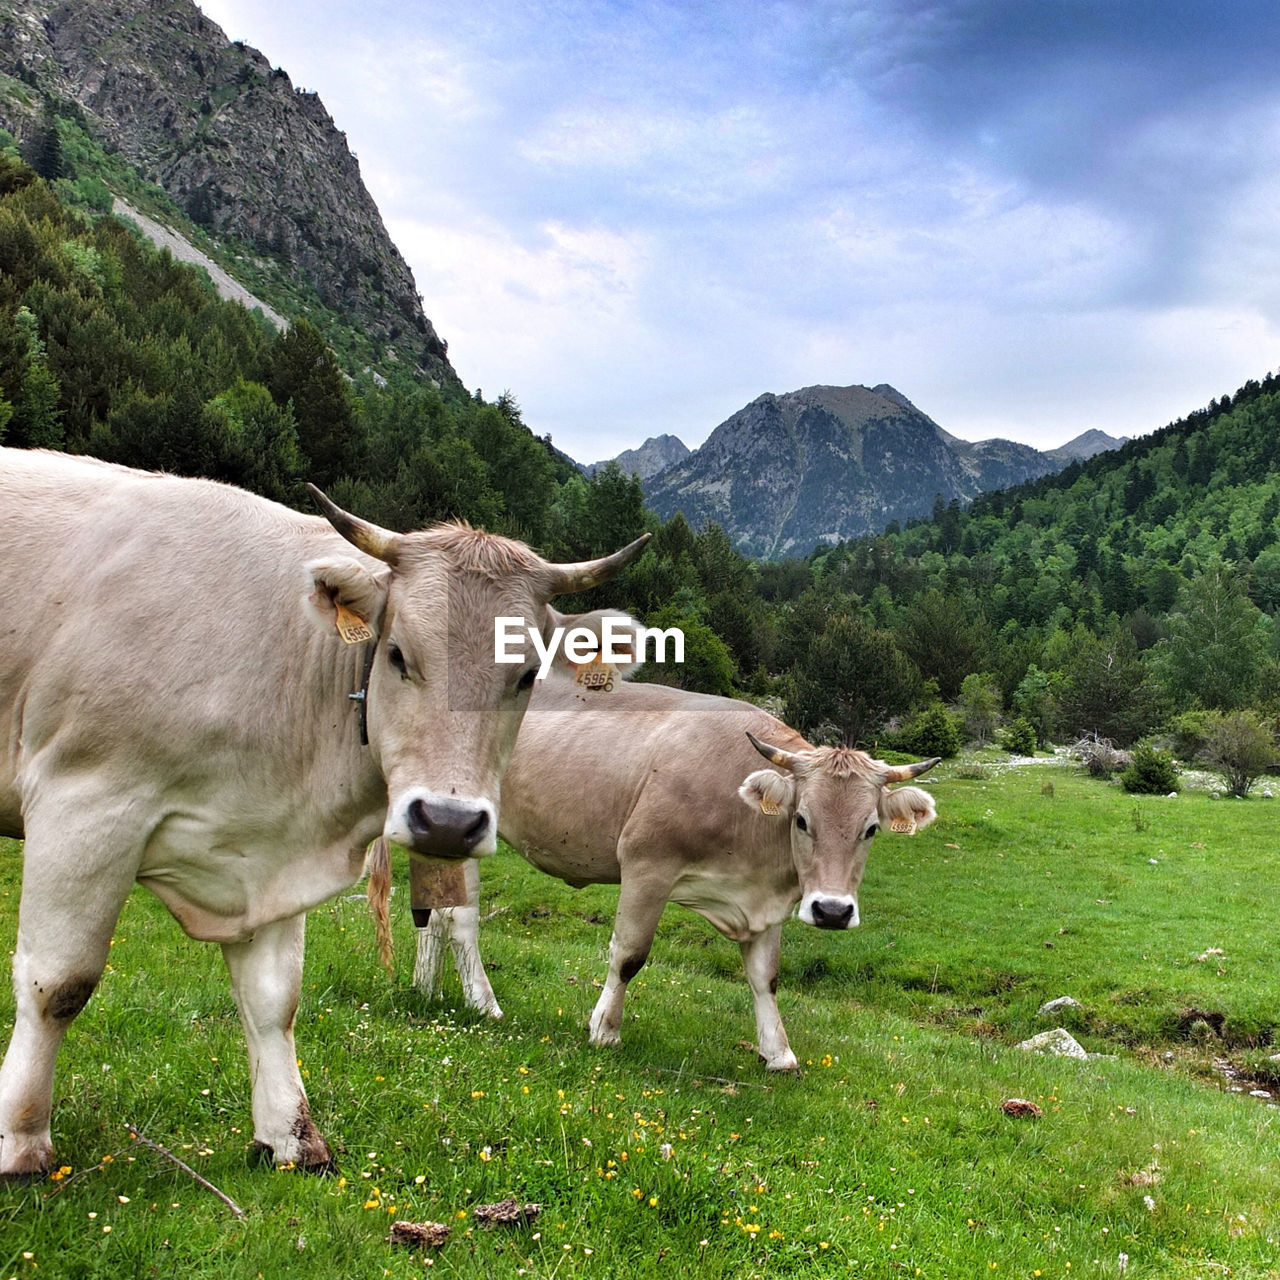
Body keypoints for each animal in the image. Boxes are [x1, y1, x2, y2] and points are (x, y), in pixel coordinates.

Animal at [0, 450, 645, 1177]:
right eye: (398, 655)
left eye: (527, 674)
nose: (448, 821)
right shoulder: (86, 798)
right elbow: (59, 983)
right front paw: (22, 1141)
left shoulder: (267, 847)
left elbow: (274, 1000)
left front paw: (290, 1137)